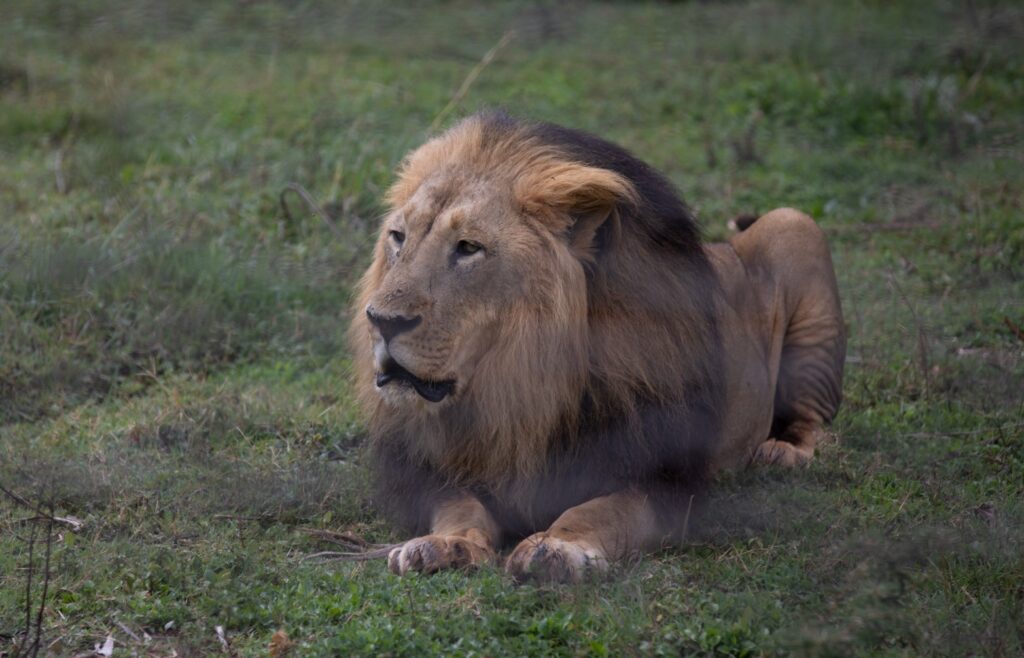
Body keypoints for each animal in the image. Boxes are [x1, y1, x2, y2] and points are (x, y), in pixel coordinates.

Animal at [349, 111, 845, 583]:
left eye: (469, 247)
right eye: (398, 237)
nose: (382, 321)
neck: (517, 386)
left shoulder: (662, 477)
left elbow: (600, 510)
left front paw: (557, 548)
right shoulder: (424, 469)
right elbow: (458, 505)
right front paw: (443, 545)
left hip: (794, 230)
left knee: (814, 422)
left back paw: (782, 453)